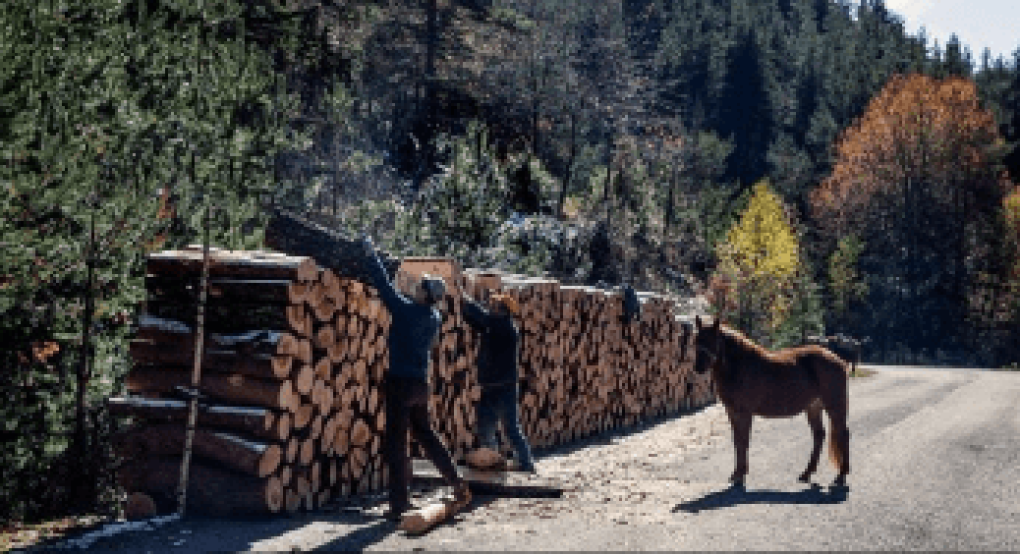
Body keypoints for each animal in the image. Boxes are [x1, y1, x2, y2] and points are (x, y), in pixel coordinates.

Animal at [693, 318, 852, 487]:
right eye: (696, 340)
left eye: (712, 340)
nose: (698, 368)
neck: (740, 366)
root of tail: (840, 361)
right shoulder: (732, 412)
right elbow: (737, 441)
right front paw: (736, 474)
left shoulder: (744, 413)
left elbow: (743, 441)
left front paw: (740, 474)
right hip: (813, 407)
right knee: (819, 435)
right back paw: (806, 473)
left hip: (834, 406)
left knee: (843, 434)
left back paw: (841, 475)